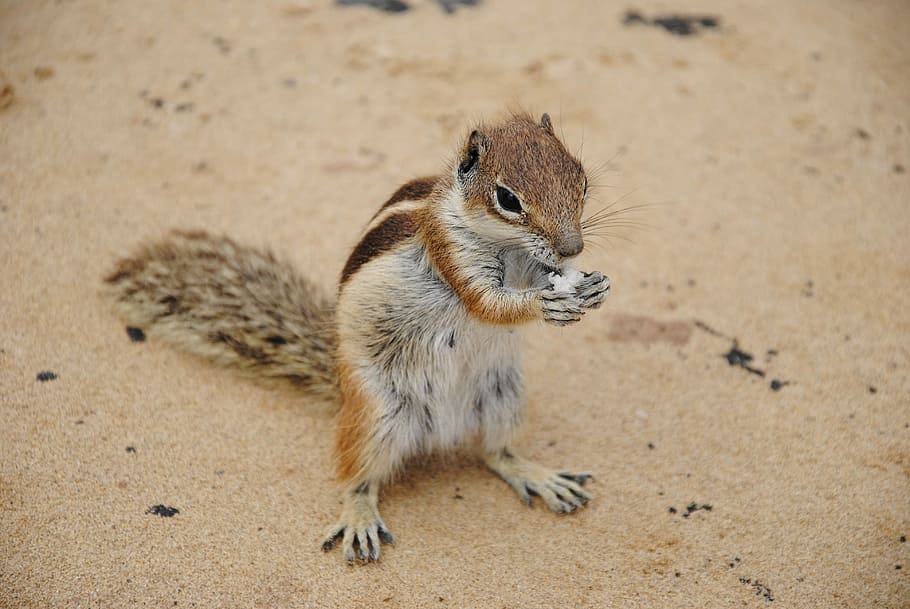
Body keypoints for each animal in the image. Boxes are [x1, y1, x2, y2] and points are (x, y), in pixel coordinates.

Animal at [104, 112, 611, 562]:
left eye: (581, 180)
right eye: (507, 199)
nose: (573, 248)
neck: (511, 250)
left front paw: (592, 287)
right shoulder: (451, 253)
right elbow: (488, 303)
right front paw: (545, 303)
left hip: (503, 394)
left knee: (497, 453)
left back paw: (538, 476)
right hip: (377, 414)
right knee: (357, 476)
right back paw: (359, 517)